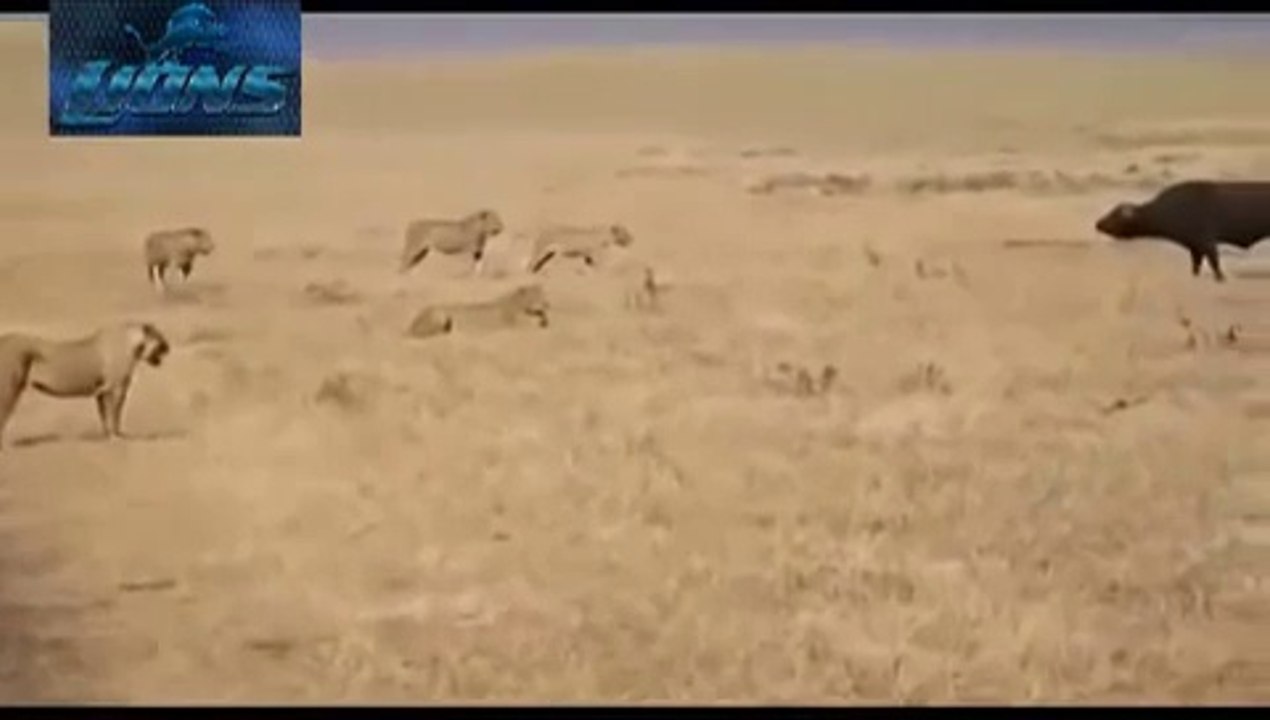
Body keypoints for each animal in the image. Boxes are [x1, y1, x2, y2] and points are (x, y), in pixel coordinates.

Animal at [0, 322, 170, 449]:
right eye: (160, 336)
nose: (168, 347)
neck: (133, 345)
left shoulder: (101, 391)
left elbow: (104, 415)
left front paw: (107, 436)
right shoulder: (116, 389)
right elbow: (114, 414)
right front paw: (116, 438)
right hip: (9, 389)